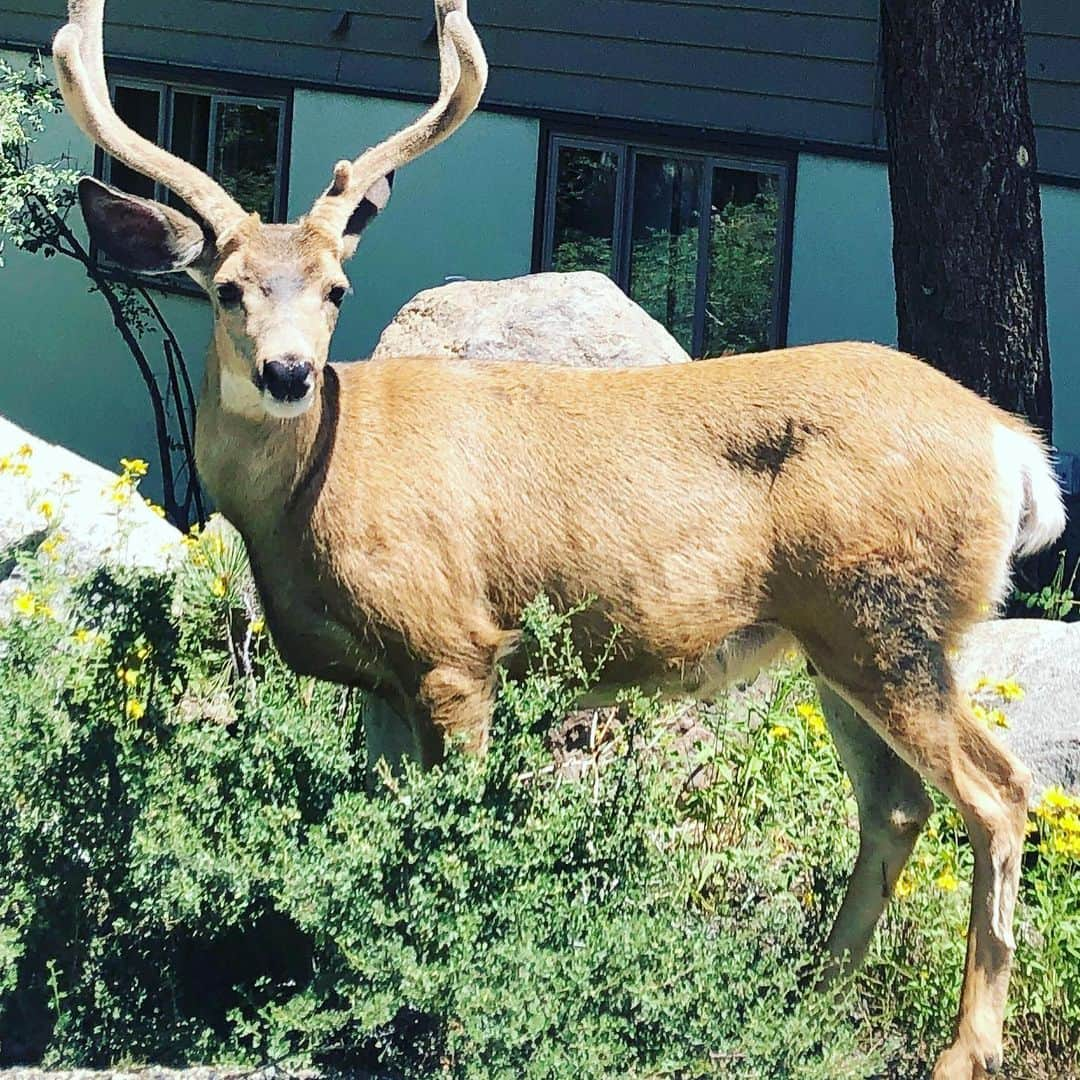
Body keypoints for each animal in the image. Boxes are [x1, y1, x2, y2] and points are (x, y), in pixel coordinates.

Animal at [52, 2, 1062, 1071]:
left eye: (335, 291)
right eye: (229, 288)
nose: (288, 373)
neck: (312, 500)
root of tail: (1013, 449)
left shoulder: (453, 649)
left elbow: (450, 839)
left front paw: (443, 1007)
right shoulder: (377, 679)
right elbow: (384, 826)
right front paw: (358, 987)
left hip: (885, 614)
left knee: (1000, 792)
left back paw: (963, 1048)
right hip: (837, 638)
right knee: (899, 806)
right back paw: (805, 1001)